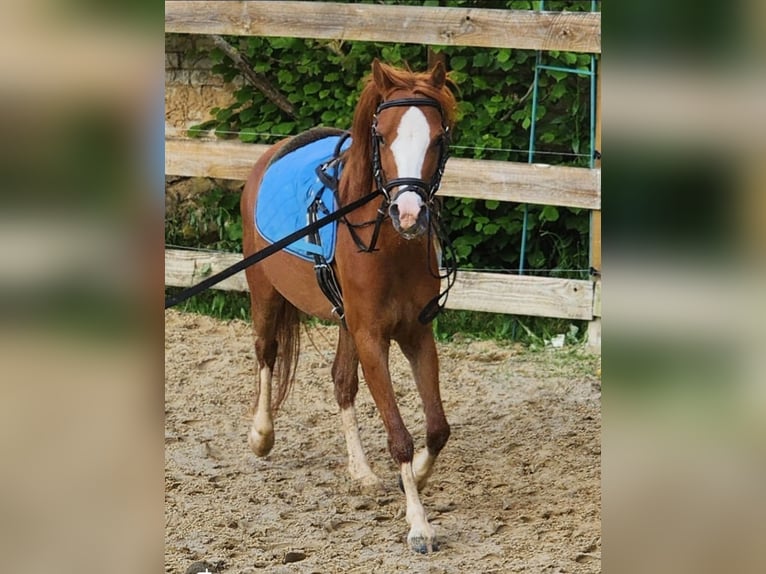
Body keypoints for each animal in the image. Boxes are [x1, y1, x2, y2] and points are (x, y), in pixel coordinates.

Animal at [240, 59, 458, 554]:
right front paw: (418, 525)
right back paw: (261, 435)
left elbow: (436, 428)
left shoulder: (415, 333)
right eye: (382, 137)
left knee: (341, 383)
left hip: (343, 321)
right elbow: (399, 435)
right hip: (264, 292)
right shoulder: (372, 337)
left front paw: (415, 477)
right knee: (266, 353)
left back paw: (361, 473)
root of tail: (274, 152)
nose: (409, 214)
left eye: (438, 138)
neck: (390, 247)